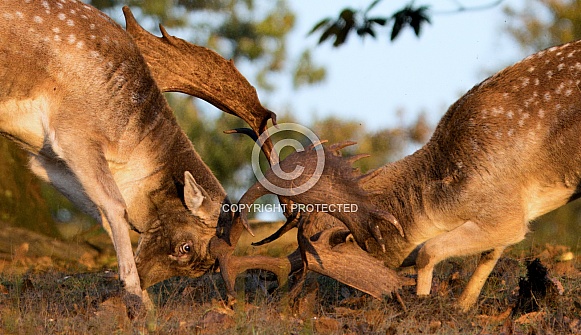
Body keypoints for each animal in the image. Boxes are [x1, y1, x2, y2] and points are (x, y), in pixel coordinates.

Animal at [0, 0, 280, 316]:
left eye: (202, 268)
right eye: (186, 247)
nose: (144, 284)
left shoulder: (45, 157)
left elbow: (101, 212)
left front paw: (140, 300)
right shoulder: (73, 130)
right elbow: (115, 205)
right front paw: (134, 295)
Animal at [233, 40, 580, 312]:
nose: (386, 298)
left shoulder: (506, 212)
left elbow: (428, 250)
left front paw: (423, 301)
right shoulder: (505, 217)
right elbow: (488, 254)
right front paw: (462, 306)